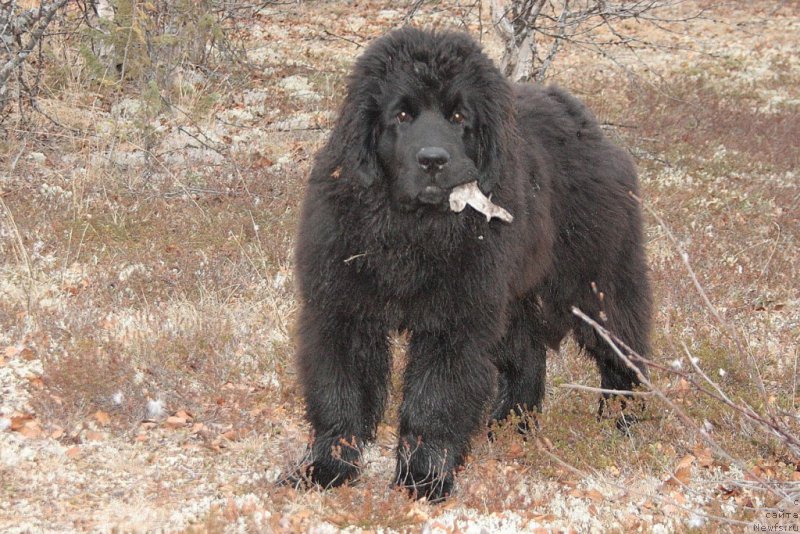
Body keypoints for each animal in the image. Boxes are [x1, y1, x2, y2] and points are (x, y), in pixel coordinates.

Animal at [290, 26, 652, 502]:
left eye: (460, 117)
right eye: (401, 114)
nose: (433, 160)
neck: (412, 231)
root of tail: (585, 121)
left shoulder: (456, 317)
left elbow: (434, 398)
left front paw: (423, 478)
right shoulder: (343, 307)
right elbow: (340, 392)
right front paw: (327, 468)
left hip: (595, 281)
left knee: (623, 348)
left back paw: (623, 418)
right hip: (514, 292)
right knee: (526, 356)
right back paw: (511, 426)